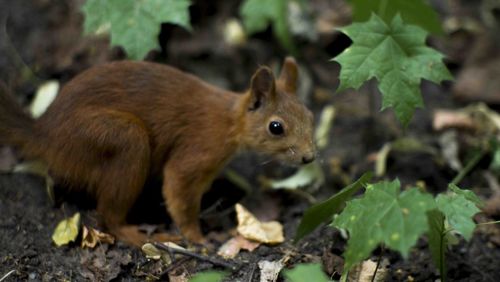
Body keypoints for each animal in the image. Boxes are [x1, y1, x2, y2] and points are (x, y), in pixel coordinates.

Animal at [0, 57, 314, 247]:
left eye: (310, 115)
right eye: (276, 127)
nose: (309, 157)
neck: (229, 121)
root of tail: (45, 134)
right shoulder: (198, 150)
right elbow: (180, 194)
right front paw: (198, 238)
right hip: (122, 139)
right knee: (109, 217)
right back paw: (140, 234)